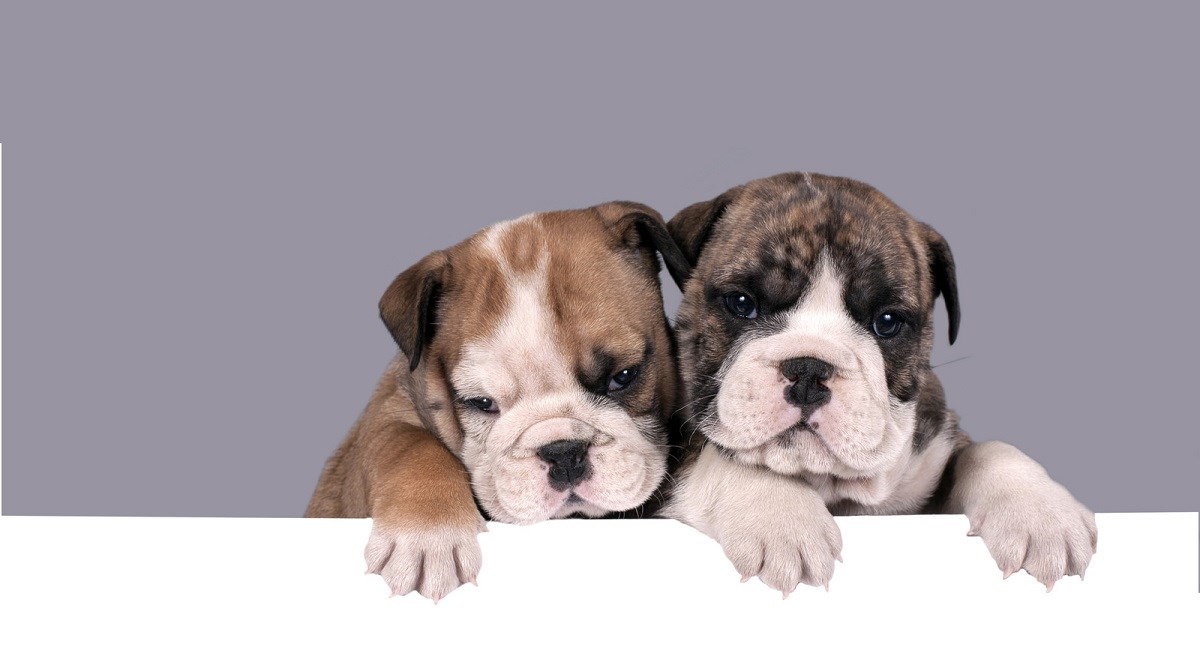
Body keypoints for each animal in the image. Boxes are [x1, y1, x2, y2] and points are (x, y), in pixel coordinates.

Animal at [304, 202, 691, 602]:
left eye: (624, 376)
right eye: (482, 402)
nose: (563, 451)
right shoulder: (386, 413)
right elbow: (409, 445)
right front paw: (427, 535)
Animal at [662, 172, 1099, 597]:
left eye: (887, 323)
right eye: (741, 303)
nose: (808, 371)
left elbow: (987, 450)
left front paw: (1041, 512)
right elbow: (725, 455)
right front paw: (782, 516)